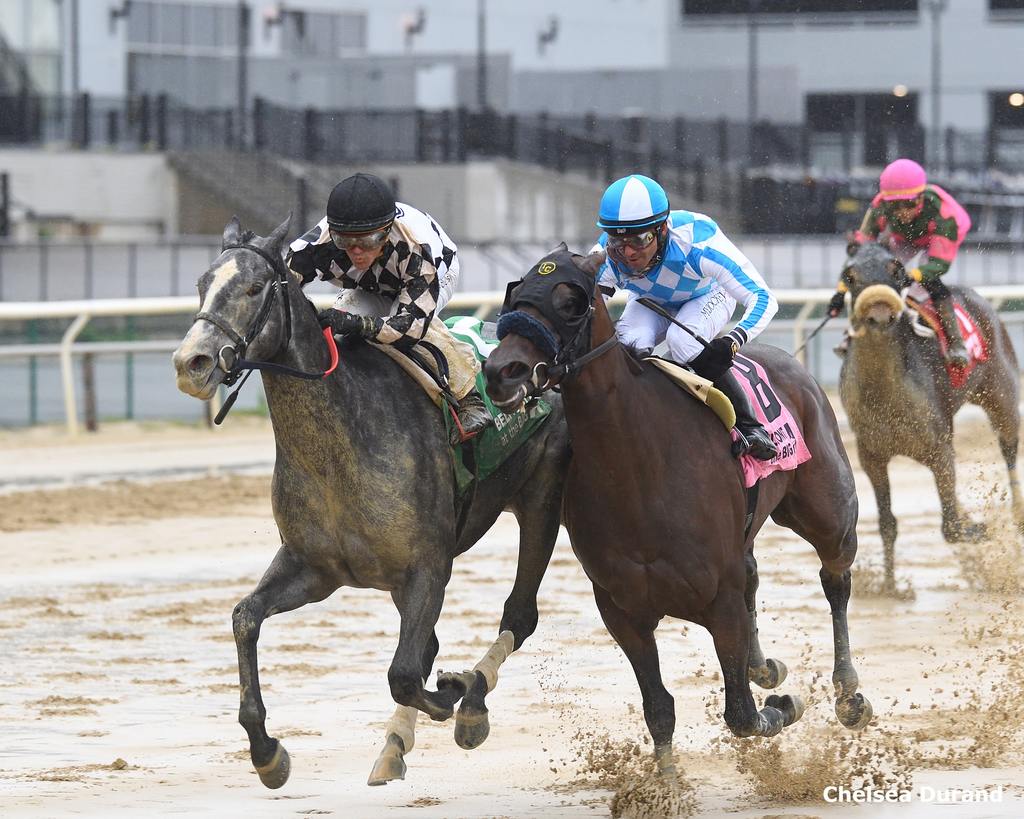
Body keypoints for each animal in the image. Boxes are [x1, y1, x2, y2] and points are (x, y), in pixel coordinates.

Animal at [167, 216, 569, 786]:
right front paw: (267, 752)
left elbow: (405, 673)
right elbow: (245, 617)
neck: (339, 448)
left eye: (253, 287)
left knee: (519, 614)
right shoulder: (316, 567)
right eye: (203, 284)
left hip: (540, 501)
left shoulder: (428, 567)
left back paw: (469, 707)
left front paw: (453, 692)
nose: (191, 363)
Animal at [481, 247, 872, 773]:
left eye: (571, 302)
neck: (639, 465)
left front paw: (786, 704)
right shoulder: (622, 608)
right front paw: (667, 781)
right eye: (517, 292)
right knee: (755, 574)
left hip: (826, 510)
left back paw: (848, 694)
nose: (502, 372)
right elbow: (659, 708)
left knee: (835, 578)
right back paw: (765, 666)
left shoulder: (720, 599)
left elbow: (742, 715)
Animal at [835, 239, 1019, 593]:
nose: (880, 314)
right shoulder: (872, 456)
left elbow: (951, 526)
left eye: (897, 269)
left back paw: (1017, 512)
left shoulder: (940, 451)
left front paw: (979, 529)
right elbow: (888, 524)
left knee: (1009, 447)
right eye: (850, 275)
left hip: (1001, 393)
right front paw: (890, 586)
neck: (886, 394)